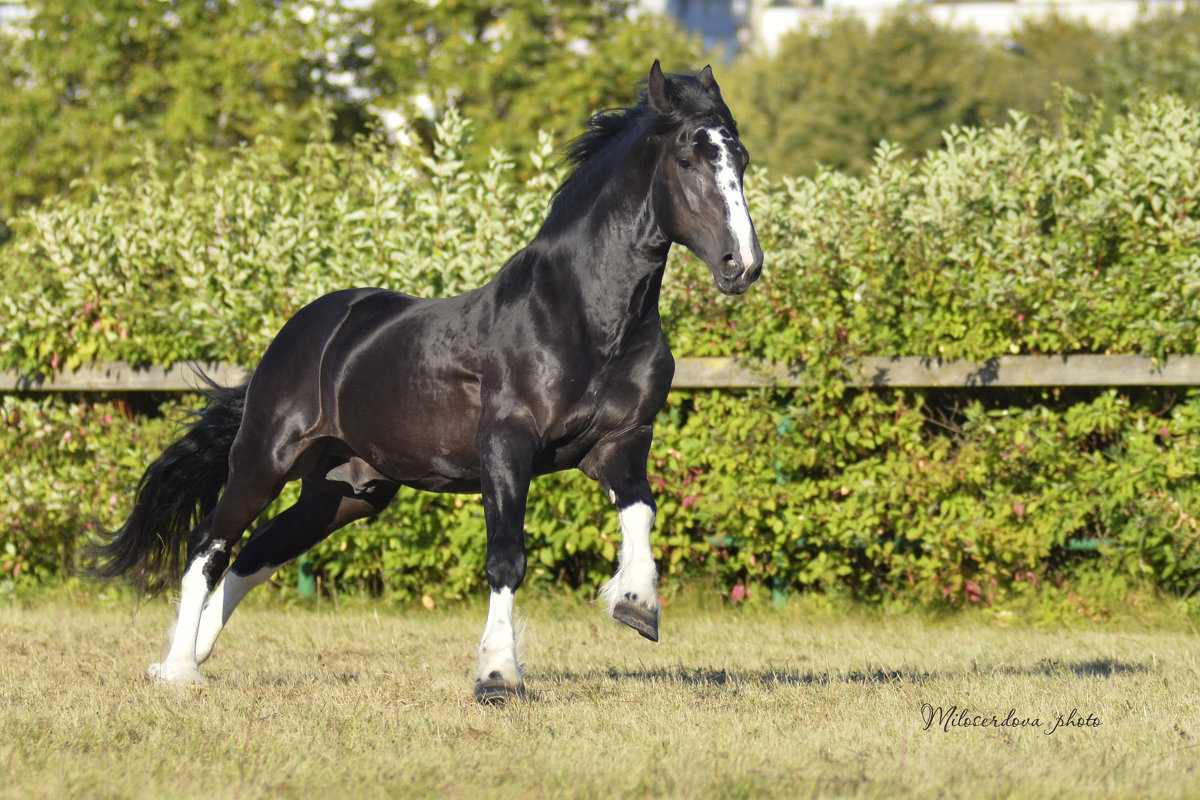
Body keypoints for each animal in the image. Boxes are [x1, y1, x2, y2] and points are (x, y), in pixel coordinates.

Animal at [91, 59, 758, 705]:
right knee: (210, 545)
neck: (586, 317)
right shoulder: (506, 445)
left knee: (255, 556)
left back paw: (187, 656)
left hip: (345, 491)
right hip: (265, 458)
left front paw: (636, 604)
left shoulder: (622, 441)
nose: (742, 266)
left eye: (742, 159)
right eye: (688, 159)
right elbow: (506, 557)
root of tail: (301, 333)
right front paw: (498, 676)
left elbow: (642, 510)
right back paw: (179, 671)